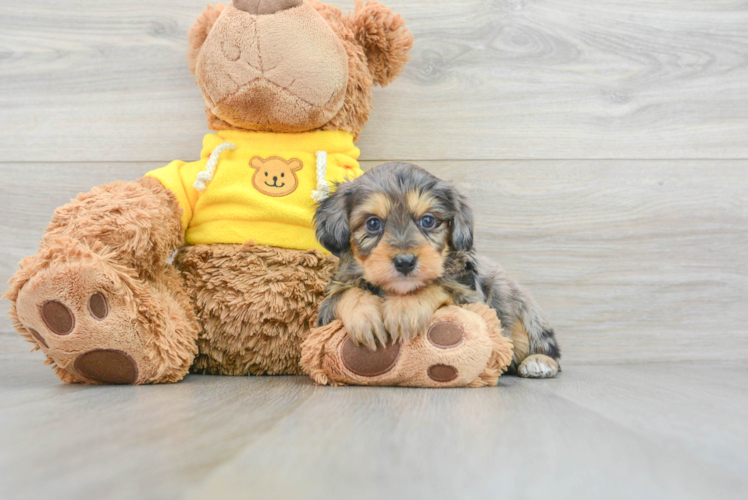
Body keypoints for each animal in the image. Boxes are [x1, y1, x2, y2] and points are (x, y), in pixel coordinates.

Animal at [312, 162, 560, 376]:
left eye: (428, 221)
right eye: (373, 223)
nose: (405, 262)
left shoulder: (474, 301)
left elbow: (439, 284)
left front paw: (406, 309)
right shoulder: (325, 311)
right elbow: (345, 293)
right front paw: (365, 319)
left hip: (519, 309)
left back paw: (539, 362)